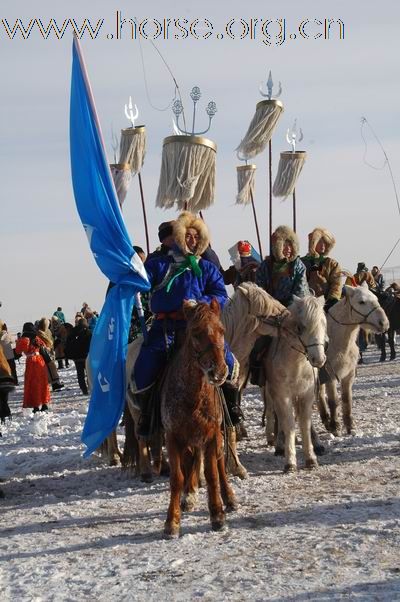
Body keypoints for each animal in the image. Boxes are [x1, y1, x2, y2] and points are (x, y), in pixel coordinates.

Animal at [162, 298, 238, 536]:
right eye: (195, 333)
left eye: (221, 330)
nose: (219, 371)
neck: (193, 398)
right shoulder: (173, 437)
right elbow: (177, 478)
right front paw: (172, 522)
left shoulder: (211, 436)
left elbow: (212, 473)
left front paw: (218, 516)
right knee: (191, 464)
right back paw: (189, 495)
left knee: (220, 464)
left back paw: (229, 498)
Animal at [262, 292, 328, 472]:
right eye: (301, 327)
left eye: (324, 323)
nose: (318, 359)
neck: (296, 365)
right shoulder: (282, 395)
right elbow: (289, 424)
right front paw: (290, 462)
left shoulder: (307, 395)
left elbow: (305, 423)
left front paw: (311, 459)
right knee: (277, 415)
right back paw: (279, 445)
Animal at [318, 284, 390, 434]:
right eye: (361, 302)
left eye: (376, 299)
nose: (384, 323)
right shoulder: (330, 376)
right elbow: (333, 401)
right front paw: (335, 426)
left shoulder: (348, 376)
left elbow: (347, 399)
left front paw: (350, 425)